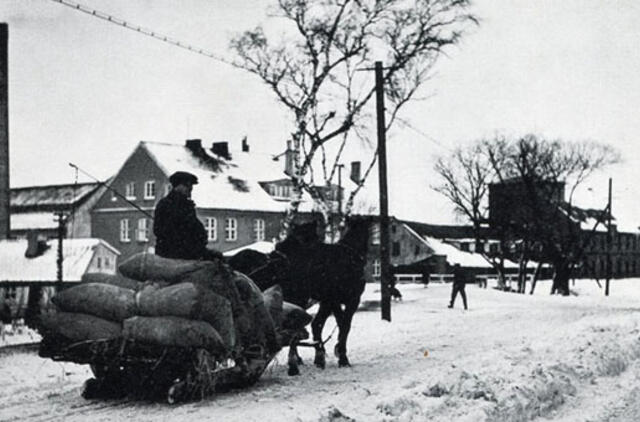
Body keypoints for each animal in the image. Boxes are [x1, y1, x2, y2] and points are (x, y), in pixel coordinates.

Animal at [229, 216, 370, 374]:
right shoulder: (349, 300)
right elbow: (342, 326)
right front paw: (340, 357)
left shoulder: (328, 301)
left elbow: (320, 325)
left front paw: (324, 356)